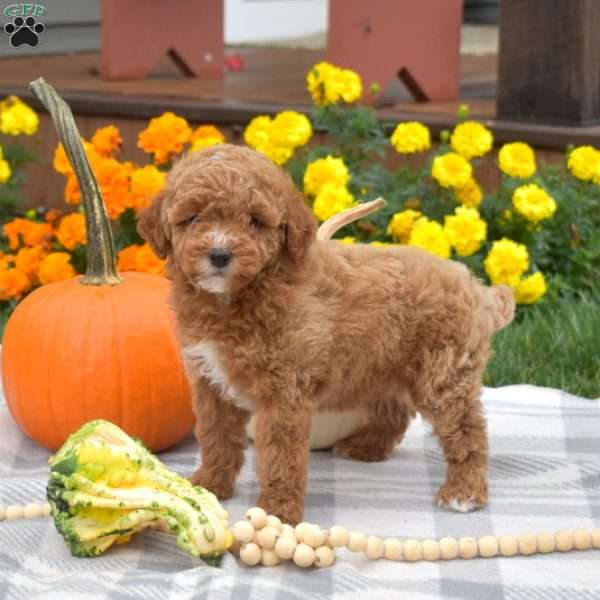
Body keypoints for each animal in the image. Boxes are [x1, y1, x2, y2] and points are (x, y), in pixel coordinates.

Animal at [137, 144, 516, 524]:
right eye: (193, 217)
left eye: (255, 221)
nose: (219, 254)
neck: (240, 295)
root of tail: (475, 288)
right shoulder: (210, 384)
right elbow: (216, 436)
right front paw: (210, 484)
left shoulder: (283, 391)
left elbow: (280, 455)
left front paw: (277, 511)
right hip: (386, 363)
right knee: (395, 413)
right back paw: (366, 447)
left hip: (443, 376)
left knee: (468, 432)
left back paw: (463, 492)